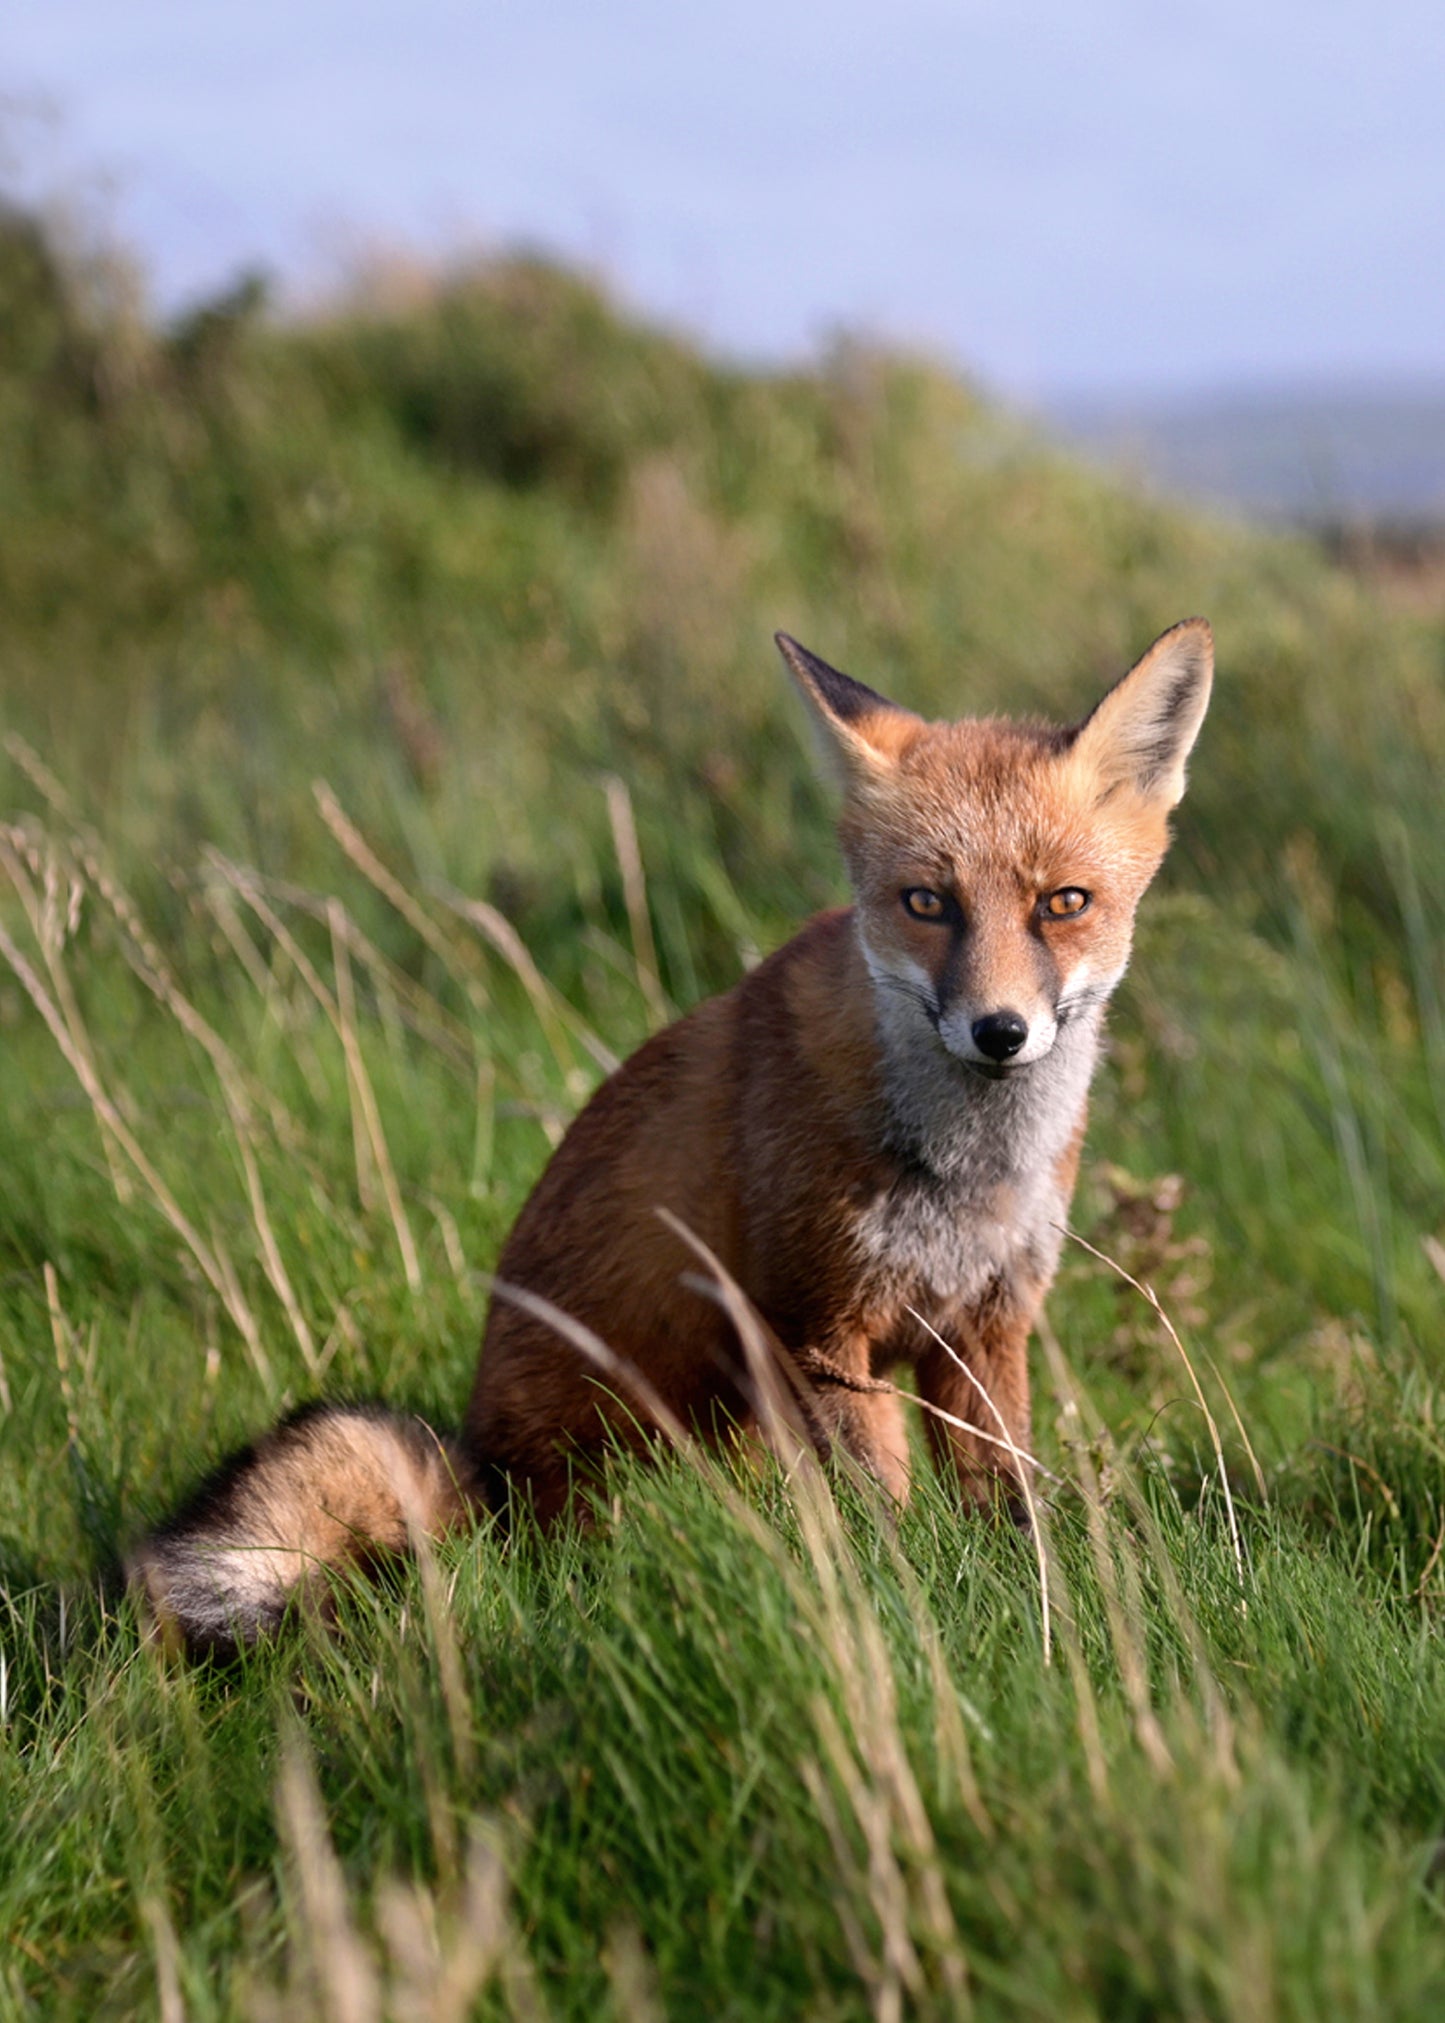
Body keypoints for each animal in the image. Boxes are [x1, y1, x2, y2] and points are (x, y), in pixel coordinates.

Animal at [130, 618, 1212, 1652]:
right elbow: (885, 1518)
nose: (998, 1032)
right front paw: (915, 1617)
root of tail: (490, 1480)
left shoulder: (985, 1325)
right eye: (926, 903)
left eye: (1062, 903)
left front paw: (1032, 1605)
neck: (965, 1171)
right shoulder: (816, 1326)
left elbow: (1004, 1505)